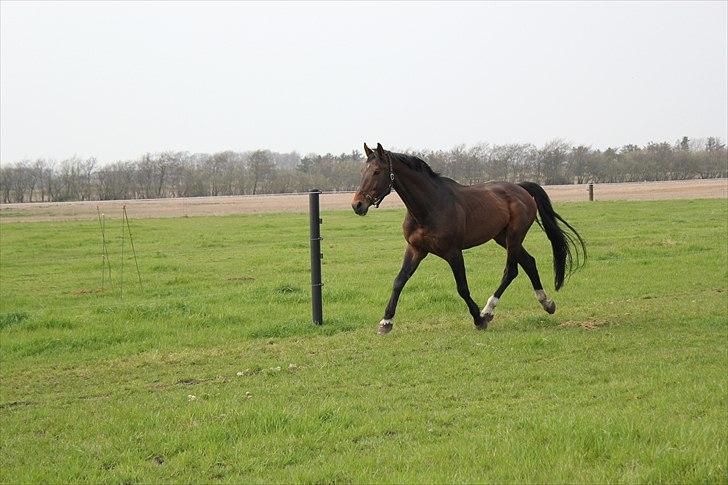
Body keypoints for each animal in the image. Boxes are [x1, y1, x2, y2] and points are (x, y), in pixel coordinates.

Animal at [350, 142, 584, 334]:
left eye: (377, 171)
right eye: (362, 171)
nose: (357, 205)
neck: (429, 207)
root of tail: (520, 188)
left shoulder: (453, 252)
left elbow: (462, 287)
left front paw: (478, 319)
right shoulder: (416, 249)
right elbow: (399, 281)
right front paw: (386, 322)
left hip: (514, 237)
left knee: (512, 270)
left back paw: (489, 310)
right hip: (502, 237)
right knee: (529, 262)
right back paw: (547, 303)